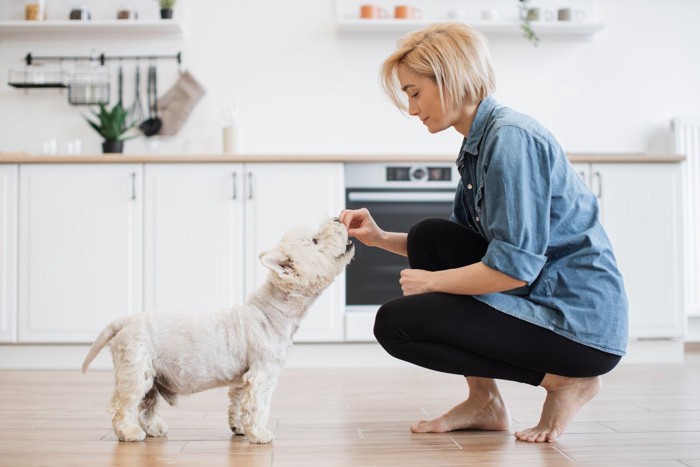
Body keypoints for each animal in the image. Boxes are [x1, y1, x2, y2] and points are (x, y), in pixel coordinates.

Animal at [82, 218, 352, 444]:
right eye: (315, 241)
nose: (338, 219)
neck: (271, 310)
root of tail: (124, 321)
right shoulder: (262, 372)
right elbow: (258, 406)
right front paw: (260, 434)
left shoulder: (243, 377)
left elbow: (239, 403)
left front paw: (240, 428)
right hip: (136, 369)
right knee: (123, 404)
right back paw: (129, 433)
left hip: (153, 374)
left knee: (147, 403)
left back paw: (154, 429)